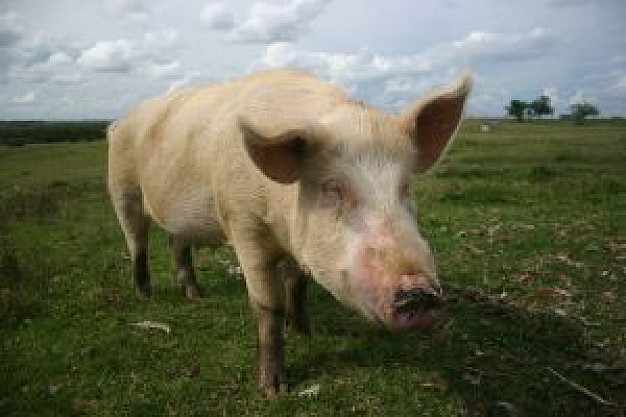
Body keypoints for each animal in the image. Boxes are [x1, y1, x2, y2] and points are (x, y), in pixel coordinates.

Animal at [107, 67, 468, 394]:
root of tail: (117, 123)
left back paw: (195, 296)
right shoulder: (243, 221)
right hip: (122, 188)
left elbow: (297, 285)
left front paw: (305, 333)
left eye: (405, 187)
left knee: (176, 241)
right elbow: (269, 304)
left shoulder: (298, 242)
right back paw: (144, 294)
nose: (419, 292)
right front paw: (274, 390)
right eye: (332, 188)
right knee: (136, 240)